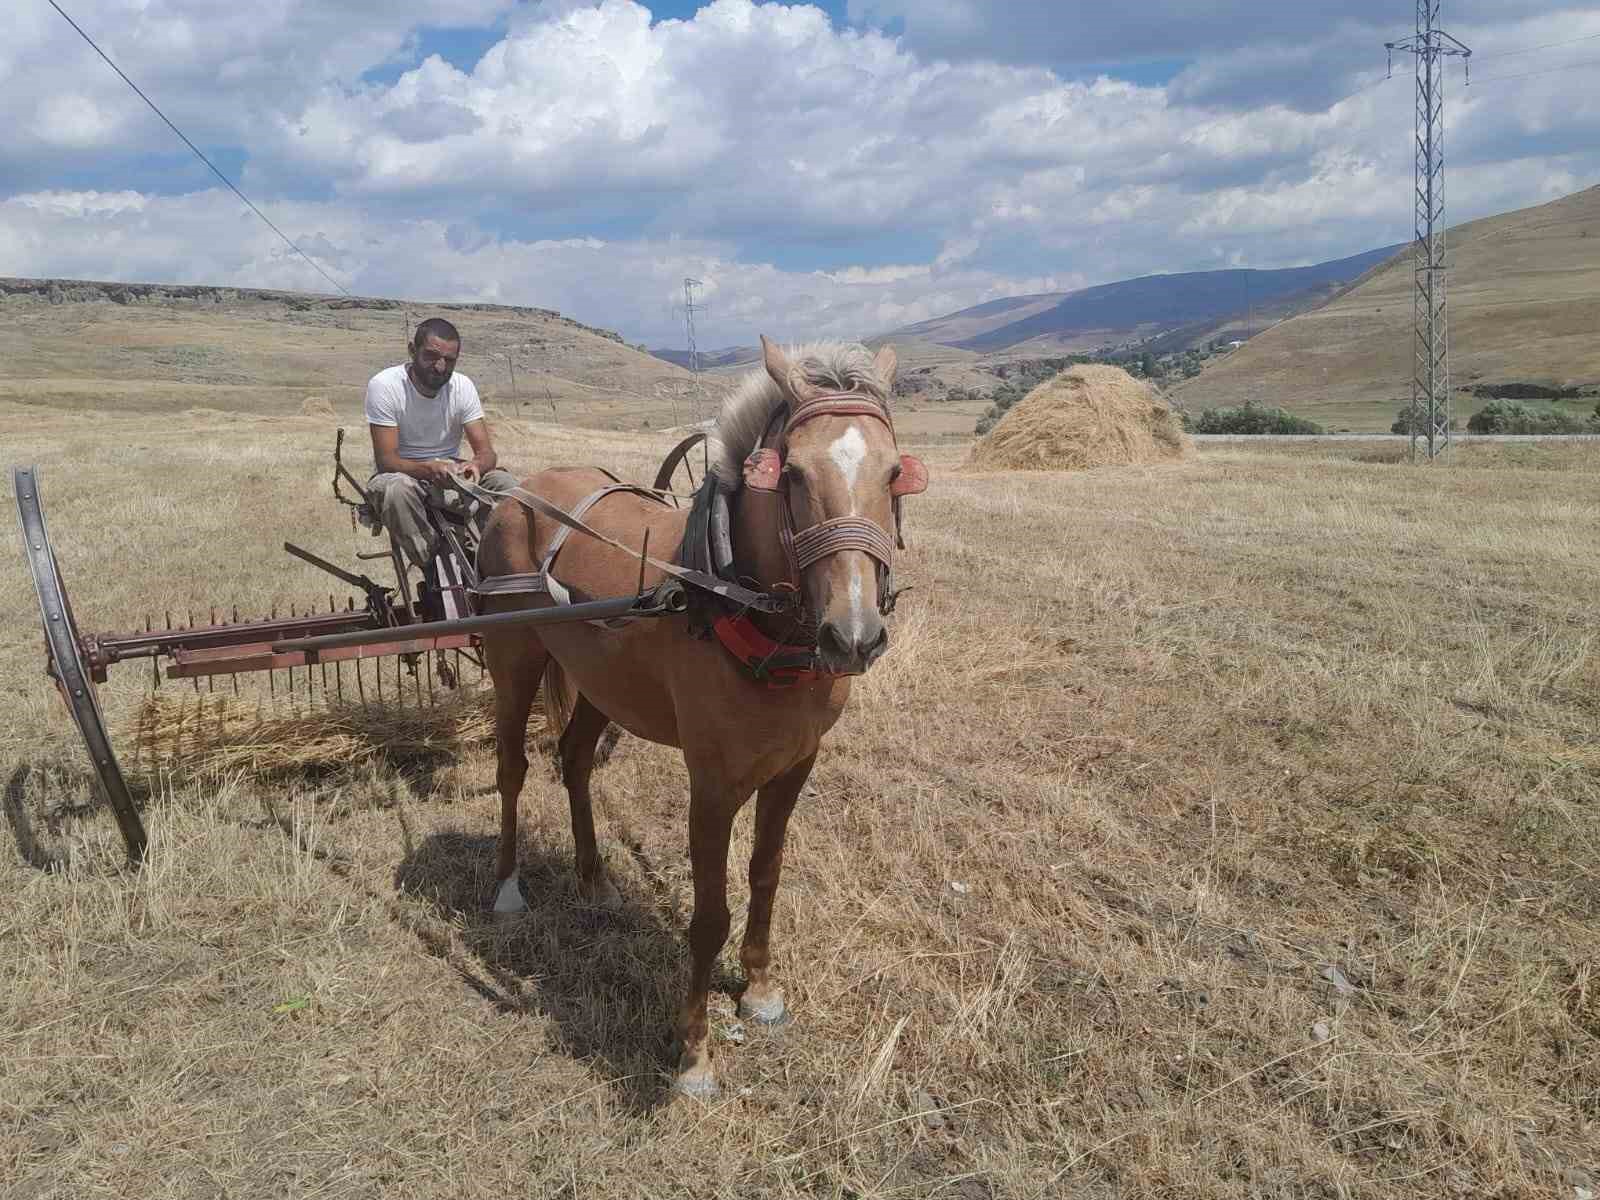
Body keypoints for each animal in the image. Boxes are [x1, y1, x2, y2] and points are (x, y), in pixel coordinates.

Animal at [473, 336, 928, 1100]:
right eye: (793, 475)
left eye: (895, 474)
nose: (854, 635)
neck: (731, 600)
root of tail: (516, 493)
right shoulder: (712, 786)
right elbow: (708, 915)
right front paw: (694, 1055)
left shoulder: (795, 766)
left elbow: (766, 874)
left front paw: (761, 988)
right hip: (514, 660)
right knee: (513, 768)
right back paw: (507, 886)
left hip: (600, 685)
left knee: (574, 760)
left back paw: (593, 875)